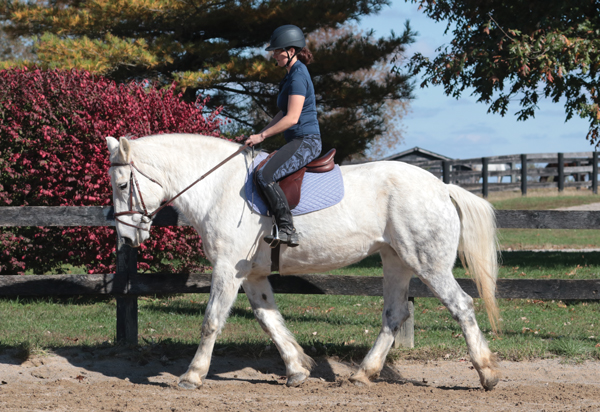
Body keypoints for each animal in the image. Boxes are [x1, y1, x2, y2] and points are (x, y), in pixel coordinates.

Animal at [106, 134, 502, 390]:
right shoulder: (252, 274)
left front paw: (192, 375)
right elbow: (268, 319)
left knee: (461, 305)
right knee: (394, 315)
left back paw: (487, 374)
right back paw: (363, 374)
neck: (218, 187)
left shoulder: (227, 269)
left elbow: (212, 321)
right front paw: (297, 369)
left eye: (123, 185)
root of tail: (442, 187)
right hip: (397, 261)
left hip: (428, 263)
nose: (125, 238)